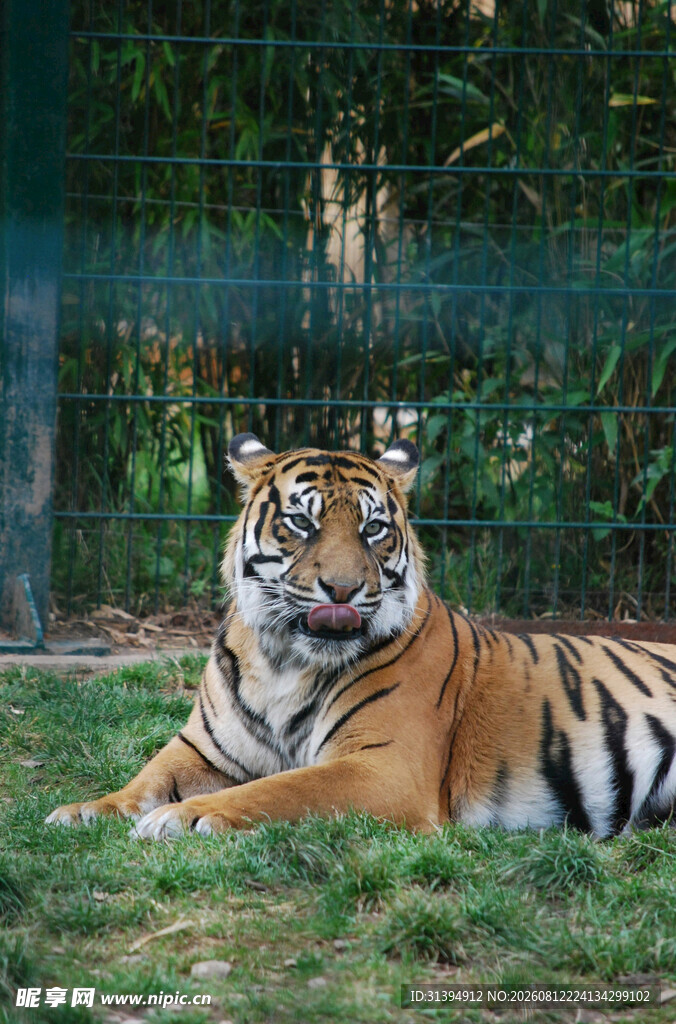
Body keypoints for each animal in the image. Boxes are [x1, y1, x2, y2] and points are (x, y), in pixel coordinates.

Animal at [47, 433, 676, 840]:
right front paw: (84, 811)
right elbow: (144, 780)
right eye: (301, 522)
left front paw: (186, 816)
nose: (344, 590)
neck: (284, 661)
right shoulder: (201, 747)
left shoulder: (383, 767)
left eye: (374, 528)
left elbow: (282, 790)